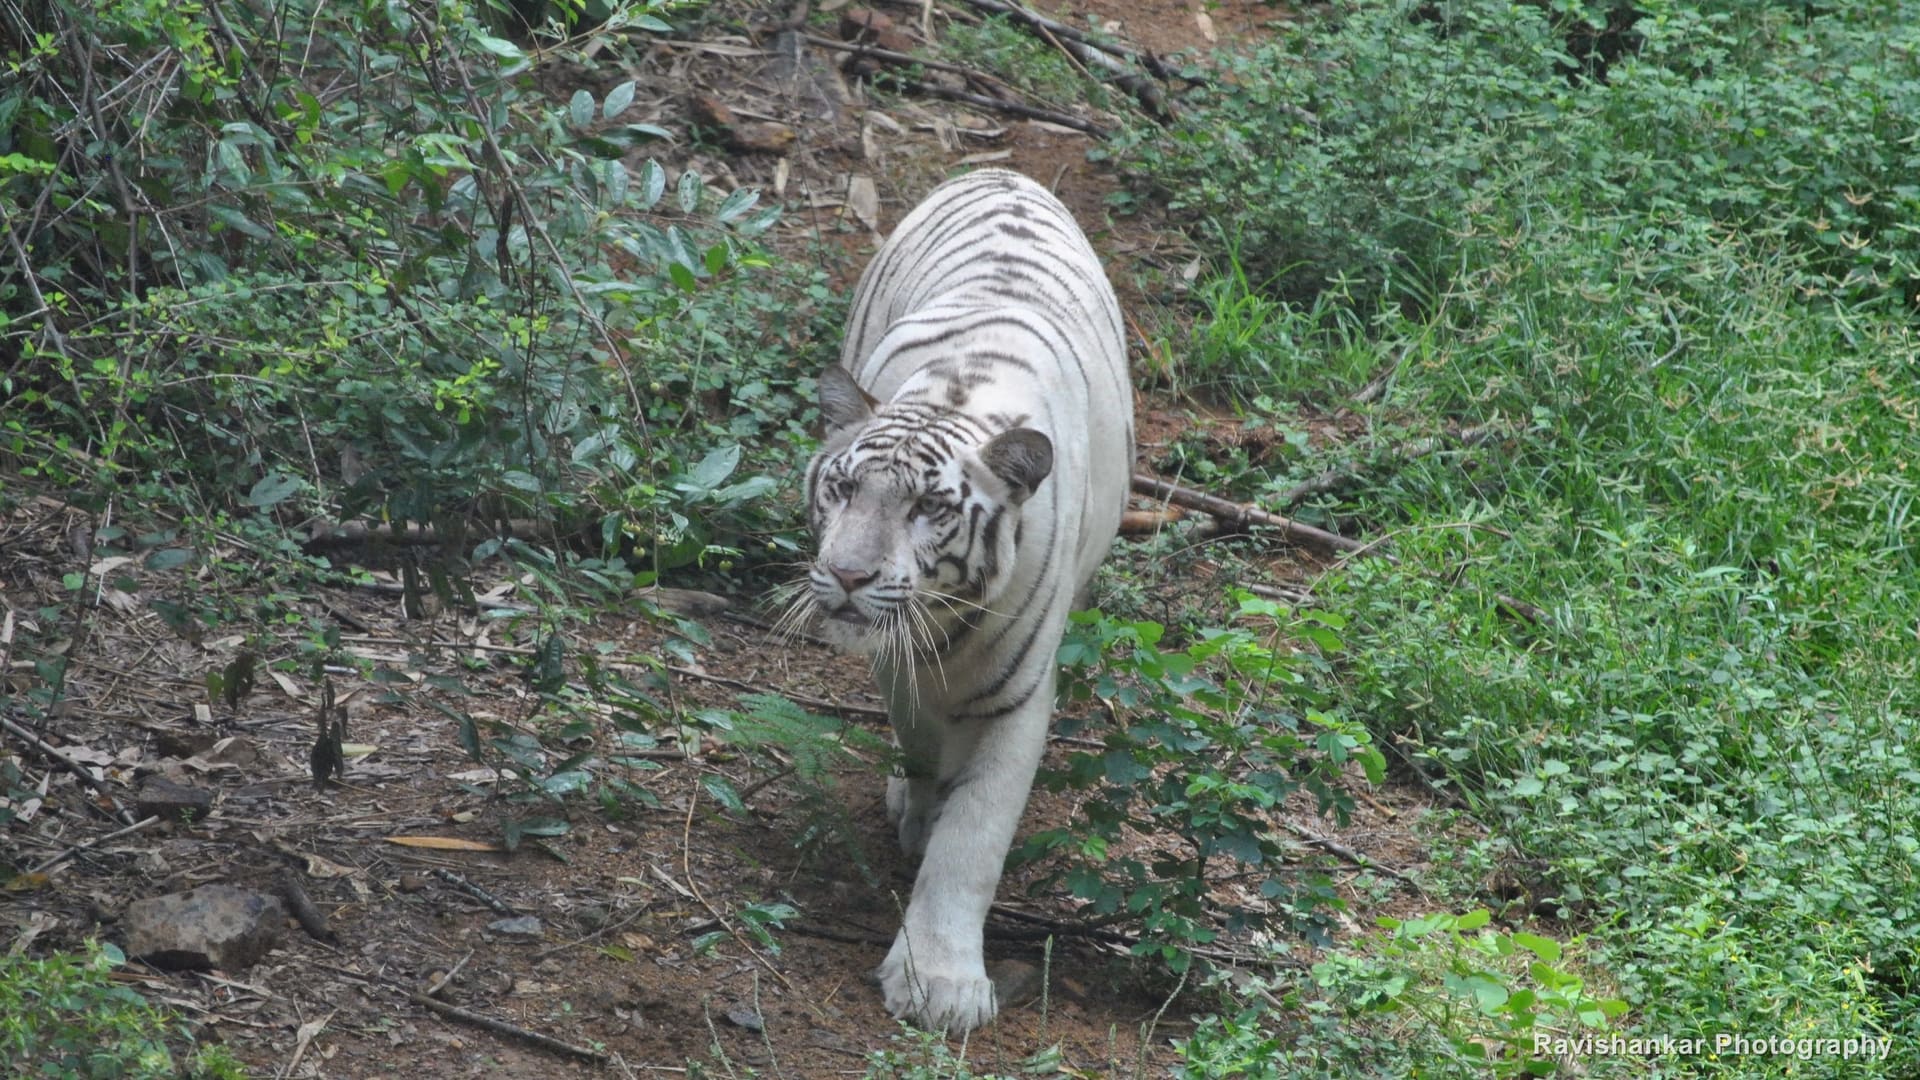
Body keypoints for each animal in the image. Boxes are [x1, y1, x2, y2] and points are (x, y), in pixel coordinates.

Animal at [789, 167, 1135, 1033]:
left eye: (927, 509)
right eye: (844, 490)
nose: (846, 575)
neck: (948, 619)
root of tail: (1001, 172)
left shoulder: (1019, 700)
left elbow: (973, 839)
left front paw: (941, 981)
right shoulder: (898, 660)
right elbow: (921, 745)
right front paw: (919, 812)